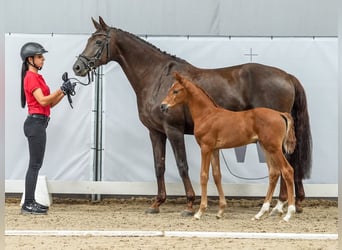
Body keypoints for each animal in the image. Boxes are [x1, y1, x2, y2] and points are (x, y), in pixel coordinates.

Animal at [160, 72, 296, 221]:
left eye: (176, 91)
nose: (162, 106)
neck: (207, 115)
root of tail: (280, 114)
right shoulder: (214, 149)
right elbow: (217, 175)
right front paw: (220, 211)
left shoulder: (205, 147)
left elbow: (204, 175)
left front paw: (200, 212)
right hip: (266, 148)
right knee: (274, 173)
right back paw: (260, 213)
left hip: (274, 148)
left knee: (287, 170)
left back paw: (288, 214)